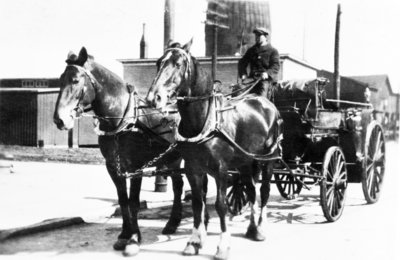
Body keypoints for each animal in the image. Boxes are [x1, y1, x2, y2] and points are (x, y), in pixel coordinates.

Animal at [54, 46, 187, 256]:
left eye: (75, 80)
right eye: (60, 80)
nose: (59, 119)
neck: (122, 119)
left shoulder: (136, 168)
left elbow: (133, 202)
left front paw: (134, 239)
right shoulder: (113, 167)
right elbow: (123, 200)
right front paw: (124, 234)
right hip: (172, 158)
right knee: (178, 185)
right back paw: (172, 224)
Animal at [146, 39, 282, 258]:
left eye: (178, 64)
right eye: (158, 63)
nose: (153, 98)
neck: (203, 120)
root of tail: (267, 104)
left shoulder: (221, 169)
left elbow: (221, 205)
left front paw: (223, 245)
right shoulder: (193, 169)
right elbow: (197, 203)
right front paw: (193, 241)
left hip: (267, 160)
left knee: (264, 191)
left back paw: (261, 227)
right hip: (245, 162)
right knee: (251, 191)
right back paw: (252, 228)